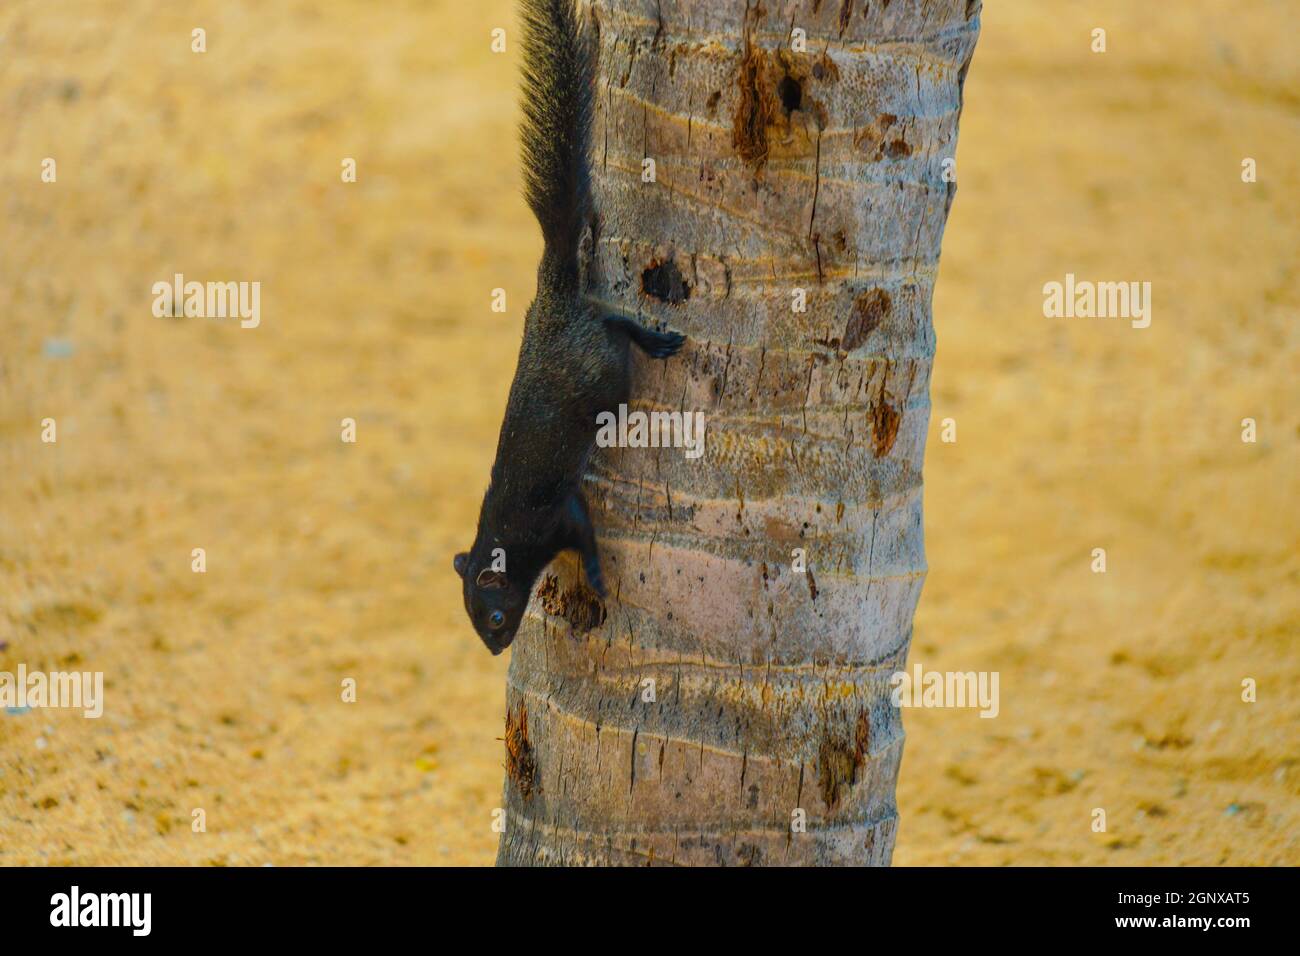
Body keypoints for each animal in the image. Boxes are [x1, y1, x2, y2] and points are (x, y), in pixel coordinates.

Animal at [454, 0, 687, 655]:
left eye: (495, 615)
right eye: (475, 618)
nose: (496, 649)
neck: (502, 536)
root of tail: (552, 298)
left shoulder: (555, 517)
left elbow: (585, 536)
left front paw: (601, 581)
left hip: (598, 356)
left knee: (615, 322)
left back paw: (657, 339)